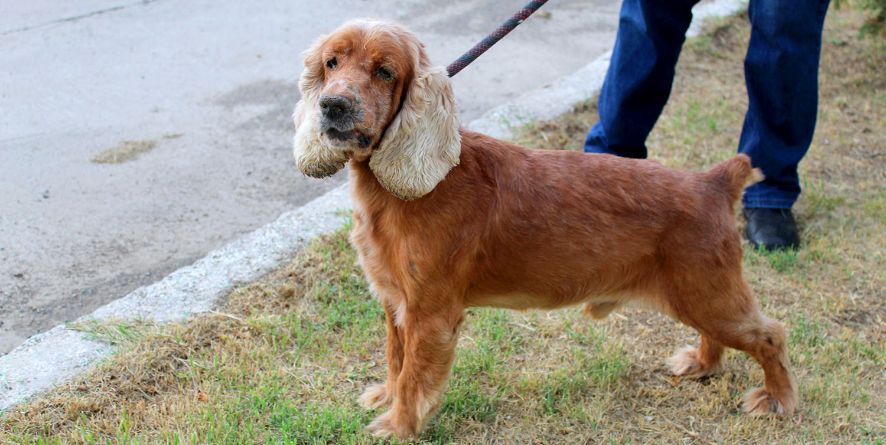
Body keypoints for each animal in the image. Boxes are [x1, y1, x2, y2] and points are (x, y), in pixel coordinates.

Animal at [292, 19, 796, 438]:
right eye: (331, 62)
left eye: (385, 72)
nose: (332, 105)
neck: (413, 186)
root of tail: (714, 181)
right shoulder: (396, 303)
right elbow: (396, 360)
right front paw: (386, 397)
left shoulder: (429, 313)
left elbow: (415, 374)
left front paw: (398, 424)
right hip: (699, 295)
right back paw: (702, 364)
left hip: (707, 292)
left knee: (771, 334)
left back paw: (777, 399)